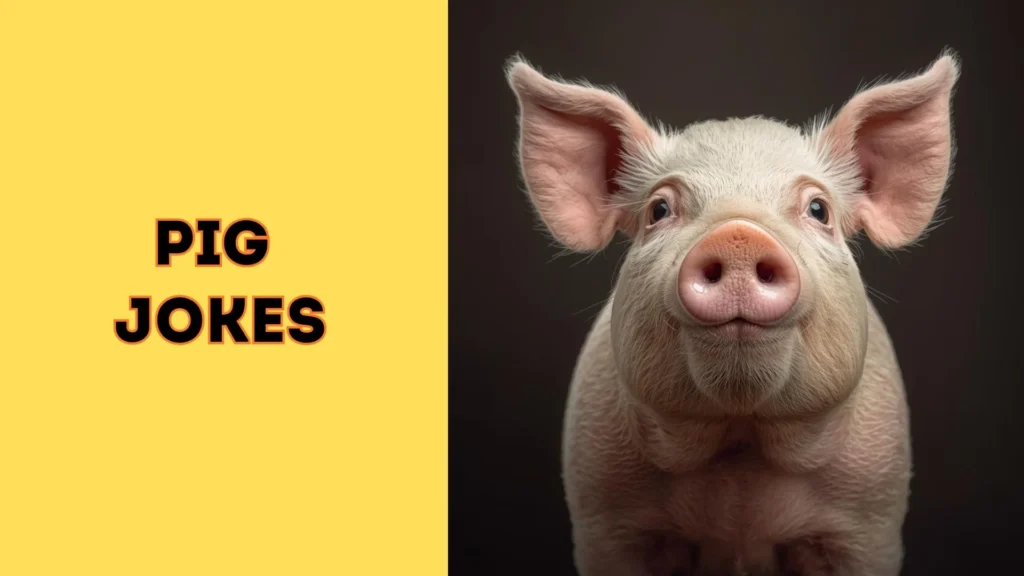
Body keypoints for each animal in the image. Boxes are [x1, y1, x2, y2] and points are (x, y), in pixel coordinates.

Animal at [505, 51, 959, 576]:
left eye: (819, 210)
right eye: (659, 210)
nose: (738, 235)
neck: (740, 448)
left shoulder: (870, 518)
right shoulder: (603, 513)